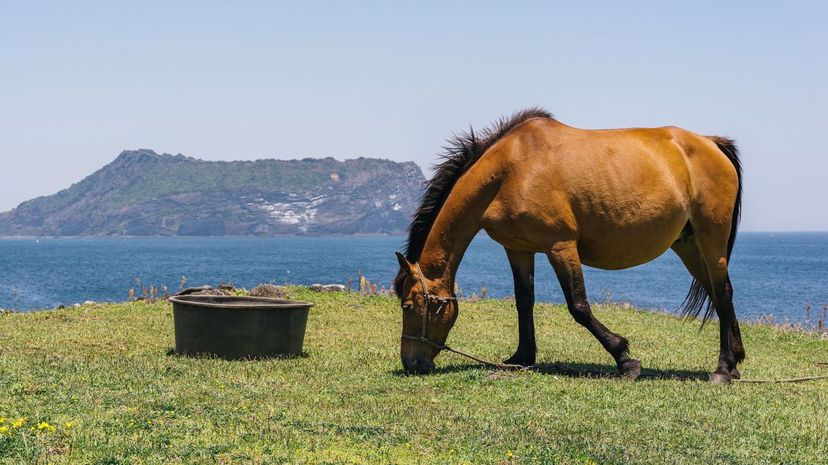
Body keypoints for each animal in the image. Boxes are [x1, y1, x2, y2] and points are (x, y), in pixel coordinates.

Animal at [392, 107, 744, 382]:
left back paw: (722, 369)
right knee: (717, 293)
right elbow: (524, 301)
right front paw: (522, 356)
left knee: (723, 292)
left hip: (711, 238)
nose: (412, 363)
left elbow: (578, 305)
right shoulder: (518, 249)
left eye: (408, 306)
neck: (512, 169)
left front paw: (625, 358)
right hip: (688, 245)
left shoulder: (560, 246)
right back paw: (736, 361)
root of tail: (711, 143)